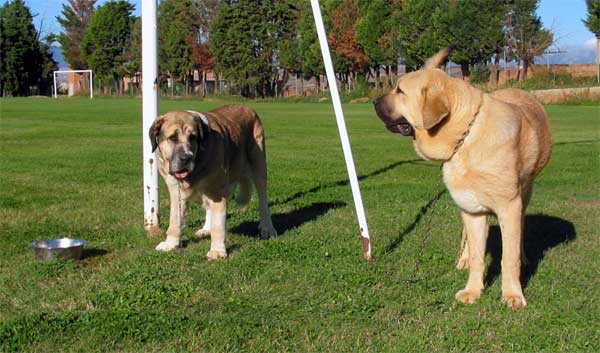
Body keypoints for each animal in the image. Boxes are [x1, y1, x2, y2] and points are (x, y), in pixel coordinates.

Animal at [152, 104, 278, 258]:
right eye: (172, 138)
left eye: (192, 137)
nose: (187, 157)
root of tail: (245, 106)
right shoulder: (177, 192)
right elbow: (175, 220)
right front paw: (170, 243)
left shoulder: (218, 191)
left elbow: (218, 224)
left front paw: (217, 251)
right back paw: (206, 228)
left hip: (258, 165)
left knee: (263, 201)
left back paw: (267, 228)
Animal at [376, 49, 552, 308]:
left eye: (400, 90)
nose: (374, 102)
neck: (465, 137)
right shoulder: (473, 210)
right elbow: (479, 255)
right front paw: (473, 290)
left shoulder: (510, 207)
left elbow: (509, 258)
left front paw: (512, 294)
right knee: (468, 237)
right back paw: (464, 259)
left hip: (524, 194)